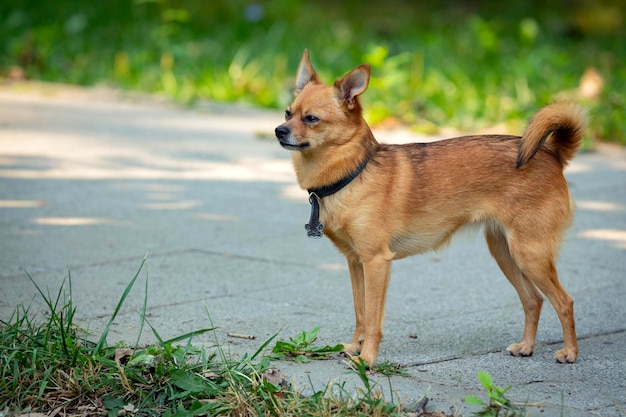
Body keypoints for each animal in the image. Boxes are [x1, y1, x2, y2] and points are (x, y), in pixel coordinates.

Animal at [272, 50, 584, 366]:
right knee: (533, 299)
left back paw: (570, 352)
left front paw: (367, 358)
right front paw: (354, 348)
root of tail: (551, 153)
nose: (279, 130)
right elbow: (361, 312)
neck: (354, 173)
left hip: (530, 255)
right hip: (505, 253)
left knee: (564, 301)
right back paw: (526, 346)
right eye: (287, 113)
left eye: (311, 119)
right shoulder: (356, 263)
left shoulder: (376, 263)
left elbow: (372, 318)